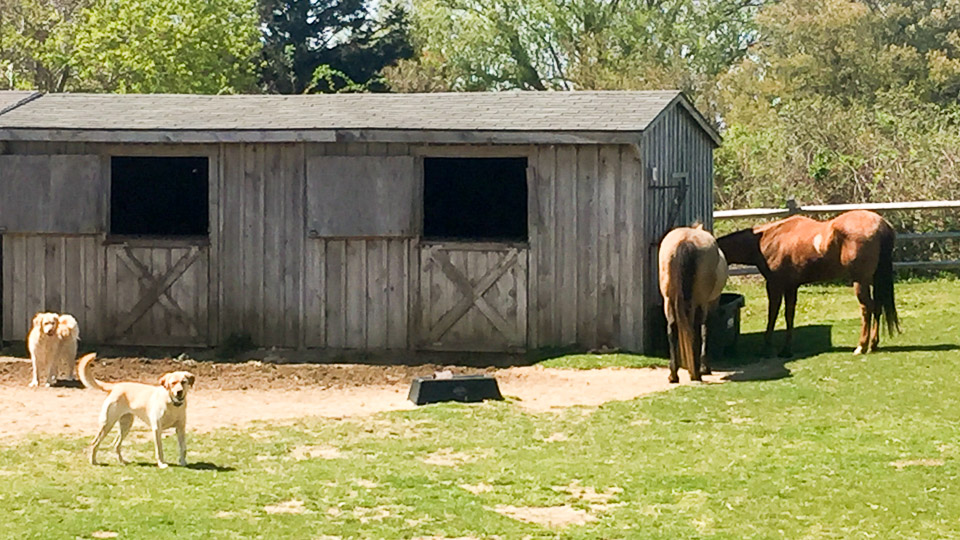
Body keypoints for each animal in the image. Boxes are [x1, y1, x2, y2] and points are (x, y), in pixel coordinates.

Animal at [660, 226, 728, 382]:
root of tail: (686, 240)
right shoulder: (711, 303)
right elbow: (705, 330)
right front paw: (704, 367)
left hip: (669, 301)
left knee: (672, 329)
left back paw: (674, 374)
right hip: (699, 302)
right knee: (696, 329)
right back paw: (696, 372)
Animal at [720, 209, 900, 356]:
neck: (768, 239)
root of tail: (880, 224)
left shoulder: (774, 285)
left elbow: (773, 314)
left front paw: (767, 347)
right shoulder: (791, 287)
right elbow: (789, 315)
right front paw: (786, 349)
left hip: (860, 281)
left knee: (867, 308)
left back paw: (861, 346)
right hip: (873, 280)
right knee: (878, 306)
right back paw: (873, 344)